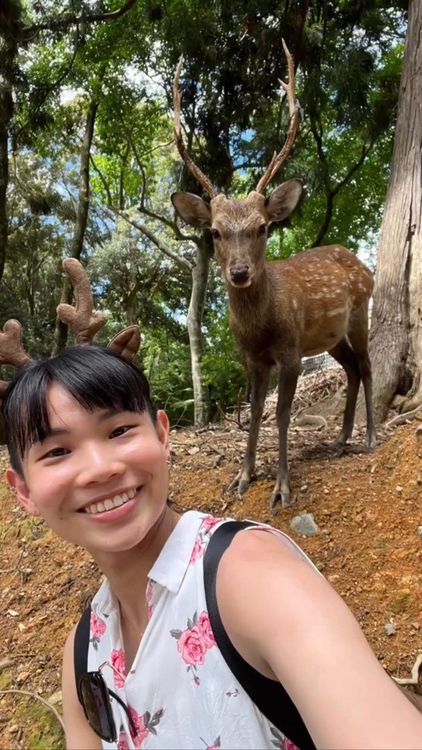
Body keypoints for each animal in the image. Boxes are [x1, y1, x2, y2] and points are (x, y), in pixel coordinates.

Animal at [171, 41, 376, 511]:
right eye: (214, 231)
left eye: (263, 227)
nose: (240, 271)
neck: (261, 329)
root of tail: (362, 264)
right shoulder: (253, 357)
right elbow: (254, 412)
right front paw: (242, 476)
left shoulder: (290, 350)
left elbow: (282, 415)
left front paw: (281, 486)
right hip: (329, 337)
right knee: (352, 369)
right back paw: (341, 437)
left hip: (359, 312)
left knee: (368, 365)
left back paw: (371, 436)